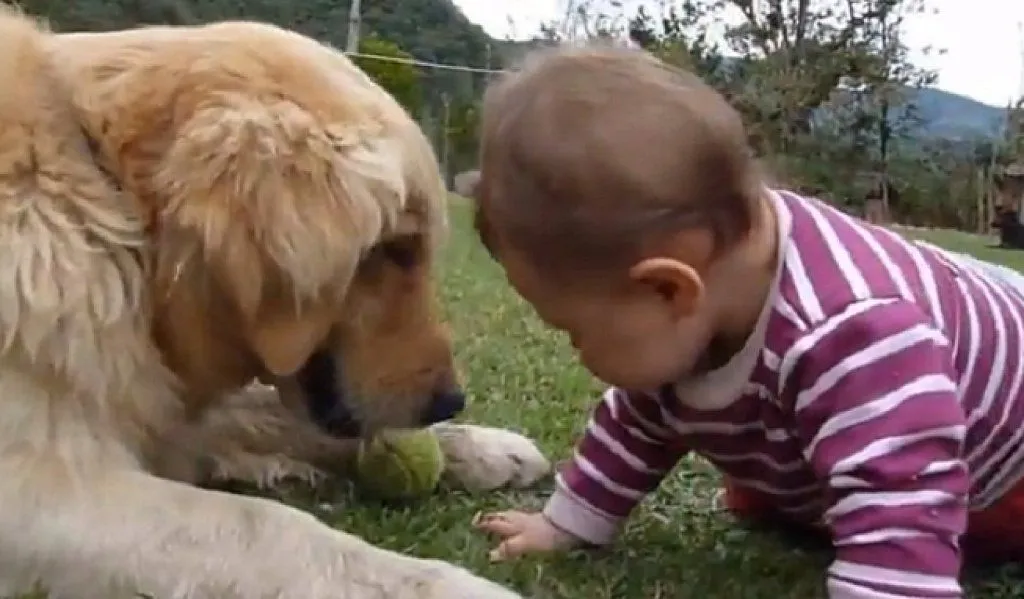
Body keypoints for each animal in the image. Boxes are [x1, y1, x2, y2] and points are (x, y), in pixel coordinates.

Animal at [0, 9, 552, 597]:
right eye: (395, 248)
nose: (450, 401)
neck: (107, 195)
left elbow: (267, 411)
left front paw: (481, 446)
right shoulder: (34, 493)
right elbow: (265, 526)